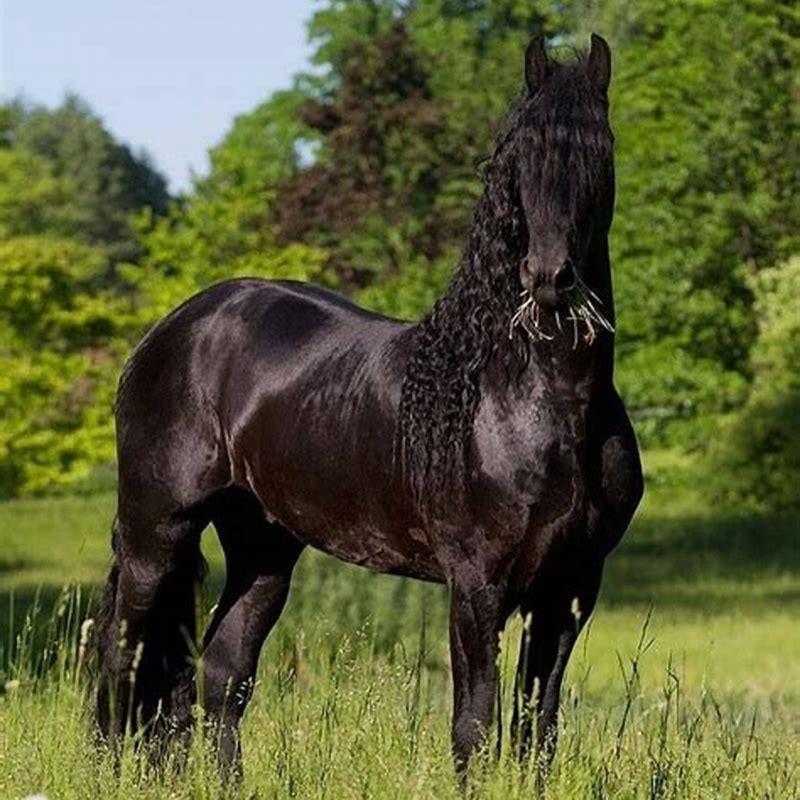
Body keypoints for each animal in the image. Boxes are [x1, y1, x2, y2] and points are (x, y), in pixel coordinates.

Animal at [95, 33, 643, 776]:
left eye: (597, 152)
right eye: (519, 158)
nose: (550, 278)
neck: (537, 404)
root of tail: (169, 331)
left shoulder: (572, 587)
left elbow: (538, 729)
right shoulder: (476, 584)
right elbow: (474, 726)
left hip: (263, 549)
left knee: (221, 673)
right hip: (157, 535)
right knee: (122, 660)